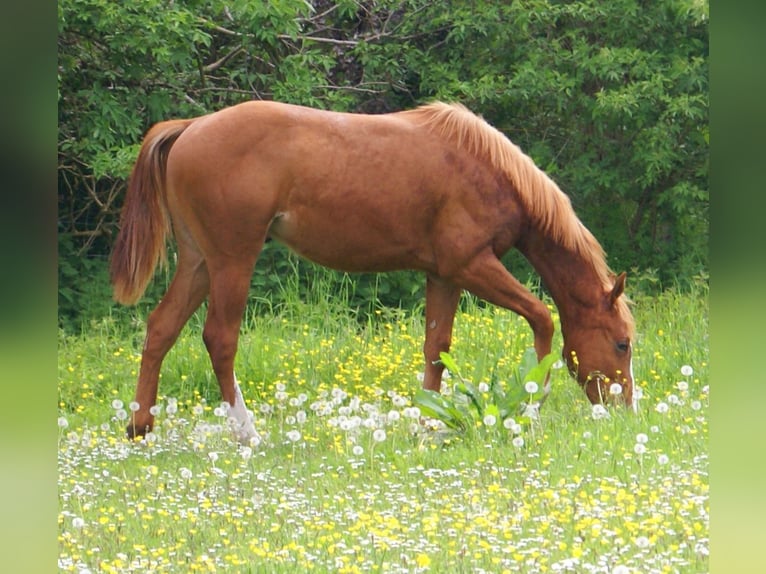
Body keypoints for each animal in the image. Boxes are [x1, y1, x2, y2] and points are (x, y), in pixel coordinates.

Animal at [111, 100, 636, 444]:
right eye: (622, 344)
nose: (627, 410)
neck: (488, 170)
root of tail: (191, 126)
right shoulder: (472, 266)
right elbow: (543, 317)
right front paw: (531, 405)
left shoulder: (444, 275)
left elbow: (436, 348)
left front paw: (428, 424)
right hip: (231, 260)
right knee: (219, 338)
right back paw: (248, 433)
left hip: (198, 261)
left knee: (161, 329)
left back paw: (140, 427)